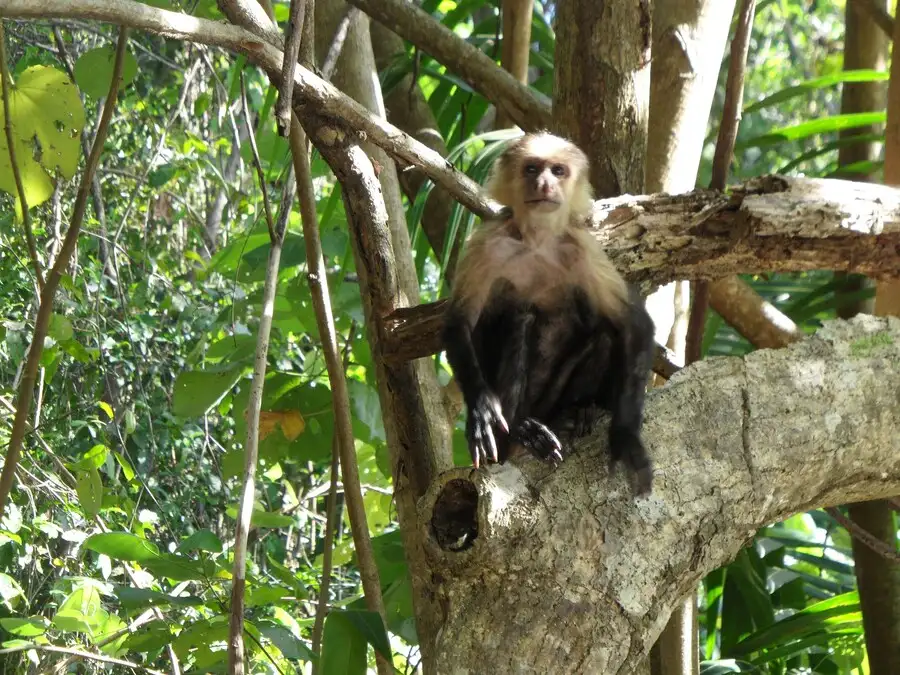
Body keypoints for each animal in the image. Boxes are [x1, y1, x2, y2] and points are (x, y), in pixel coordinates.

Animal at [442, 131, 652, 496]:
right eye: (531, 169)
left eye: (558, 171)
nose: (544, 184)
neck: (537, 242)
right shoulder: (487, 243)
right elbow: (459, 323)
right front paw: (481, 409)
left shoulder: (584, 249)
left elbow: (631, 324)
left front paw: (626, 436)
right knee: (519, 316)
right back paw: (520, 430)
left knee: (603, 336)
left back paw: (572, 414)